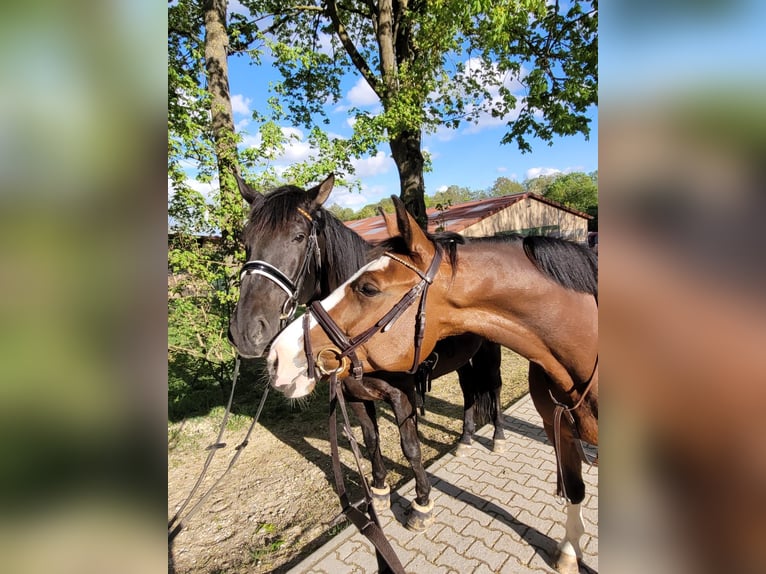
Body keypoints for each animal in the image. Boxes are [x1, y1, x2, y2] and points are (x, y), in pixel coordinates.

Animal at [225, 174, 508, 532]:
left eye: (299, 237)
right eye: (246, 240)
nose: (246, 332)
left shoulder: (402, 396)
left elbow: (410, 447)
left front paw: (421, 503)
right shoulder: (354, 395)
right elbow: (371, 440)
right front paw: (379, 491)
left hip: (490, 352)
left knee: (493, 388)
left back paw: (497, 436)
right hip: (463, 361)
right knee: (470, 392)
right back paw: (466, 440)